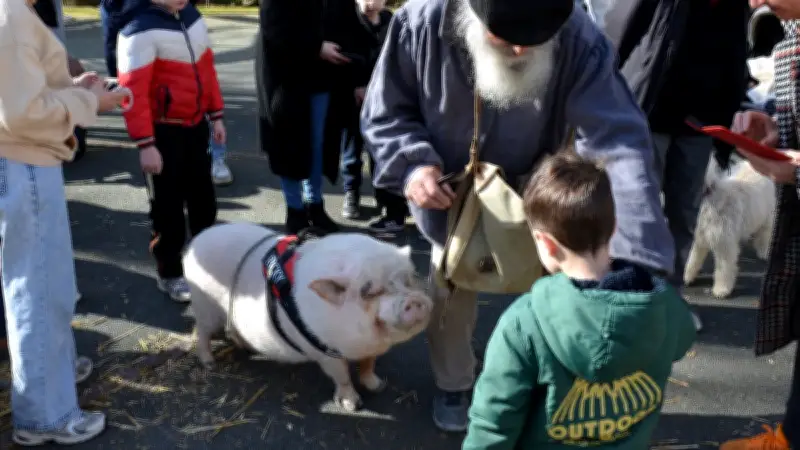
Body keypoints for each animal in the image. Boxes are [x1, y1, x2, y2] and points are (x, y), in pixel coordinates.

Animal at [184, 222, 433, 411]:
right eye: (370, 292)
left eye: (409, 278)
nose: (414, 300)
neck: (359, 342)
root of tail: (194, 243)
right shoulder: (323, 350)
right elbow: (342, 374)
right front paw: (352, 405)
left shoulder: (369, 350)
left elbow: (368, 365)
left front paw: (378, 386)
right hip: (205, 305)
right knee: (201, 331)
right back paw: (210, 364)